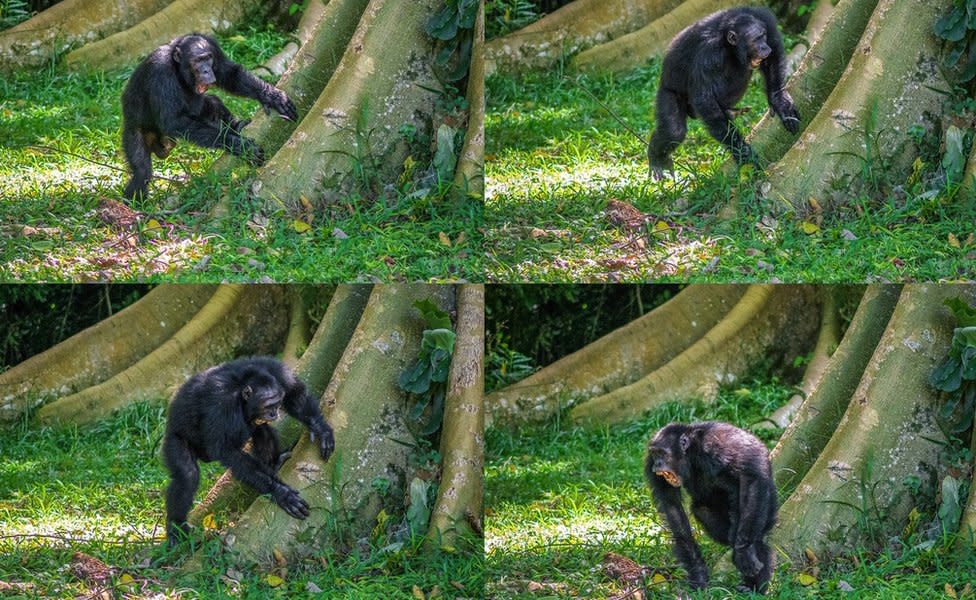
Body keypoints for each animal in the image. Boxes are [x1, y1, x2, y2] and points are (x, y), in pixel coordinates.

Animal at [118, 34, 296, 200]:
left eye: (208, 58)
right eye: (198, 61)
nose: (206, 70)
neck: (178, 68)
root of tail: (161, 141)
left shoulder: (214, 47)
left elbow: (230, 74)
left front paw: (271, 96)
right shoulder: (160, 72)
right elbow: (173, 120)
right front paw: (237, 144)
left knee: (212, 103)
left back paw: (236, 125)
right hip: (134, 132)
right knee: (142, 172)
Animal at [164, 358, 336, 548]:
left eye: (277, 402)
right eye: (268, 405)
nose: (274, 412)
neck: (241, 386)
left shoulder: (275, 370)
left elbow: (294, 394)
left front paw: (321, 429)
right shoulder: (222, 406)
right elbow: (228, 451)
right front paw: (280, 493)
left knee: (261, 429)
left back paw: (274, 463)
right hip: (174, 439)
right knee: (187, 475)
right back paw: (175, 528)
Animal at [648, 7, 800, 179]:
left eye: (763, 36)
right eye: (756, 39)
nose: (764, 47)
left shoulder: (764, 18)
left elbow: (773, 54)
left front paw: (779, 101)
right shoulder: (708, 56)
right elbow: (705, 100)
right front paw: (741, 150)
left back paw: (730, 111)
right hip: (667, 92)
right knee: (674, 131)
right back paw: (656, 159)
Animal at [648, 420, 776, 592]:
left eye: (662, 453)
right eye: (655, 454)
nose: (657, 464)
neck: (690, 454)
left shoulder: (713, 447)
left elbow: (749, 477)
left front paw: (743, 551)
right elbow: (672, 506)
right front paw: (698, 573)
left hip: (767, 494)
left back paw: (753, 583)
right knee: (703, 512)